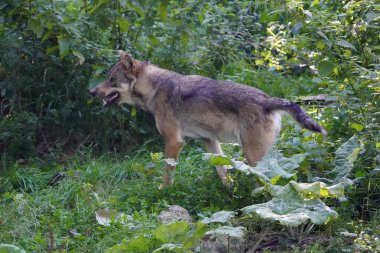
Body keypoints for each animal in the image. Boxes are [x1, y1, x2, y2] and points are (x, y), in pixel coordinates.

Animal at [90, 51, 326, 189]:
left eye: (111, 79)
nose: (92, 92)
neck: (155, 89)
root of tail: (267, 100)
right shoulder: (209, 141)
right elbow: (223, 172)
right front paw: (231, 192)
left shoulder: (174, 142)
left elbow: (167, 174)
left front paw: (163, 192)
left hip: (253, 156)